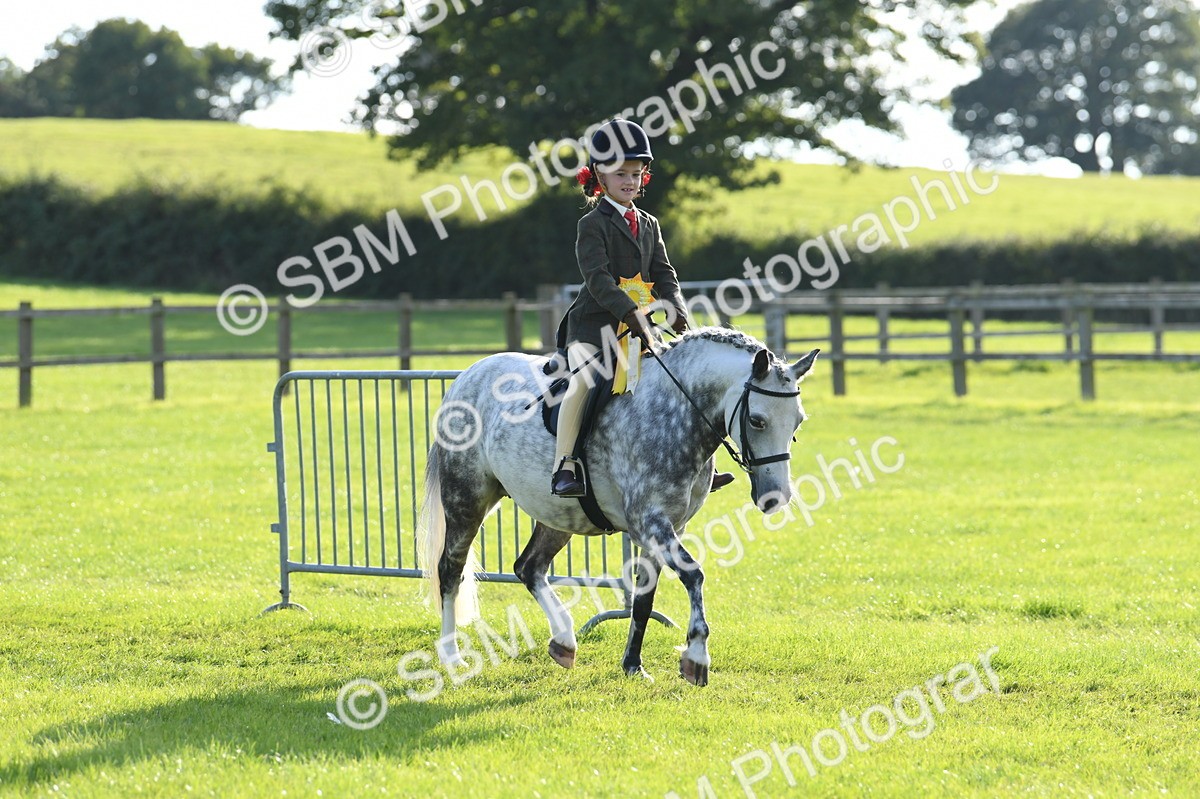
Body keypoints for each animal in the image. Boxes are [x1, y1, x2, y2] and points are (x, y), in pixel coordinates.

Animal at [419, 326, 819, 685]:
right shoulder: (649, 523)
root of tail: (468, 374)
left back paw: (564, 640)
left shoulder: (667, 527)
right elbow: (693, 574)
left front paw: (633, 665)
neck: (675, 414)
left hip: (558, 515)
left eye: (798, 422)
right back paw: (452, 658)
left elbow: (643, 599)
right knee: (450, 571)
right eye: (756, 420)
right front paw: (696, 656)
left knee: (528, 567)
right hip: (467, 498)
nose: (776, 496)